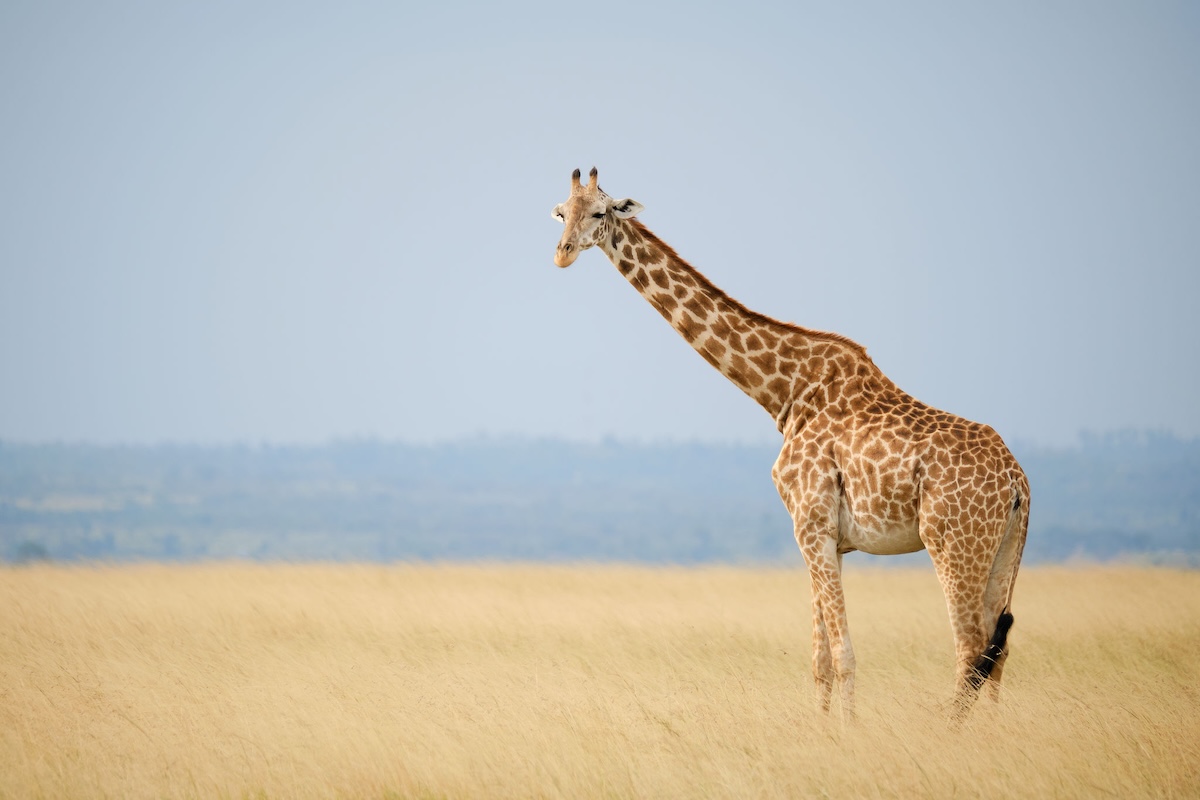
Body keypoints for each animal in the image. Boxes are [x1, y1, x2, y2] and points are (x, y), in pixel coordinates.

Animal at [551, 167, 1030, 718]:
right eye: (561, 212)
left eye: (600, 211)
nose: (562, 253)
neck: (783, 391)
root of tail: (1019, 483)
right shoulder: (828, 537)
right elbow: (819, 660)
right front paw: (823, 730)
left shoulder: (810, 524)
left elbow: (842, 656)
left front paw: (846, 732)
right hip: (1004, 550)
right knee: (998, 651)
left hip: (953, 542)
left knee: (970, 649)